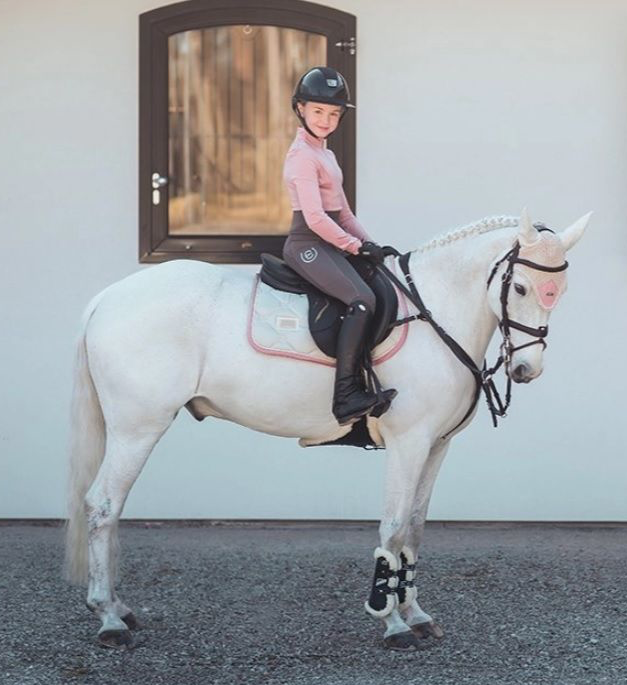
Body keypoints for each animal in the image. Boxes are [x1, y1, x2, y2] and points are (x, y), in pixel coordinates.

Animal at [63, 208, 589, 651]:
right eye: (519, 289)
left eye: (559, 293)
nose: (526, 369)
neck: (435, 312)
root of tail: (108, 298)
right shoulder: (408, 443)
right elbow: (393, 528)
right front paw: (390, 621)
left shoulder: (436, 446)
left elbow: (416, 529)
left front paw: (415, 614)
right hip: (137, 429)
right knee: (103, 506)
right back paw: (108, 618)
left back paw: (120, 609)